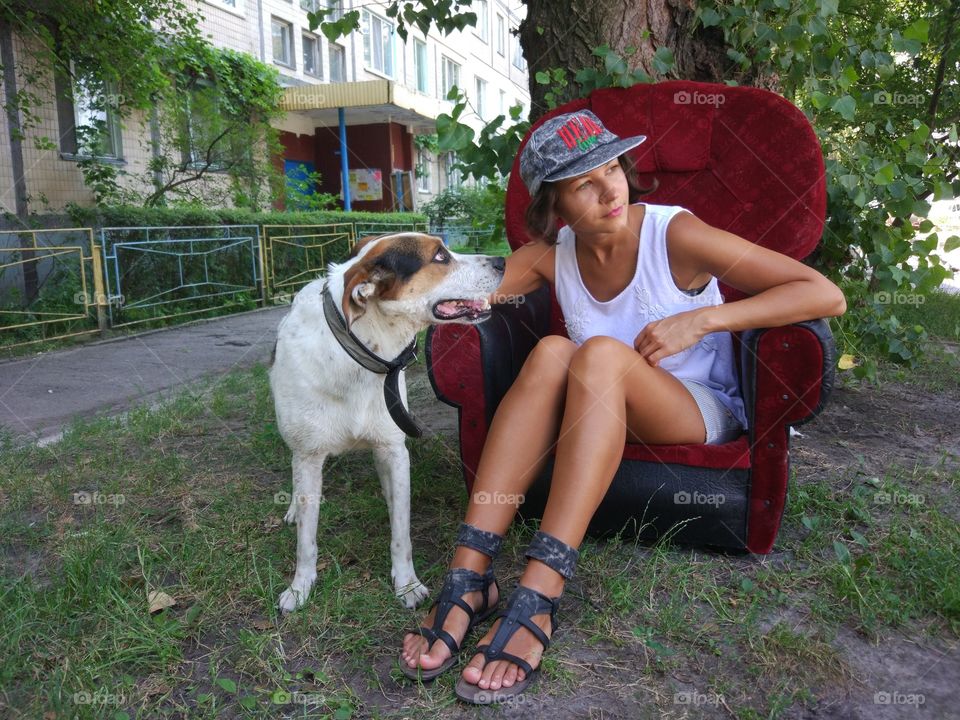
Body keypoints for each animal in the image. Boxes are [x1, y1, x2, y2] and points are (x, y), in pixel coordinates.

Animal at [270, 235, 502, 612]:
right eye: (440, 256)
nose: (501, 262)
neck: (357, 352)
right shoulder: (308, 455)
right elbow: (306, 538)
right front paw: (300, 587)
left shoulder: (395, 449)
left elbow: (401, 531)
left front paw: (407, 584)